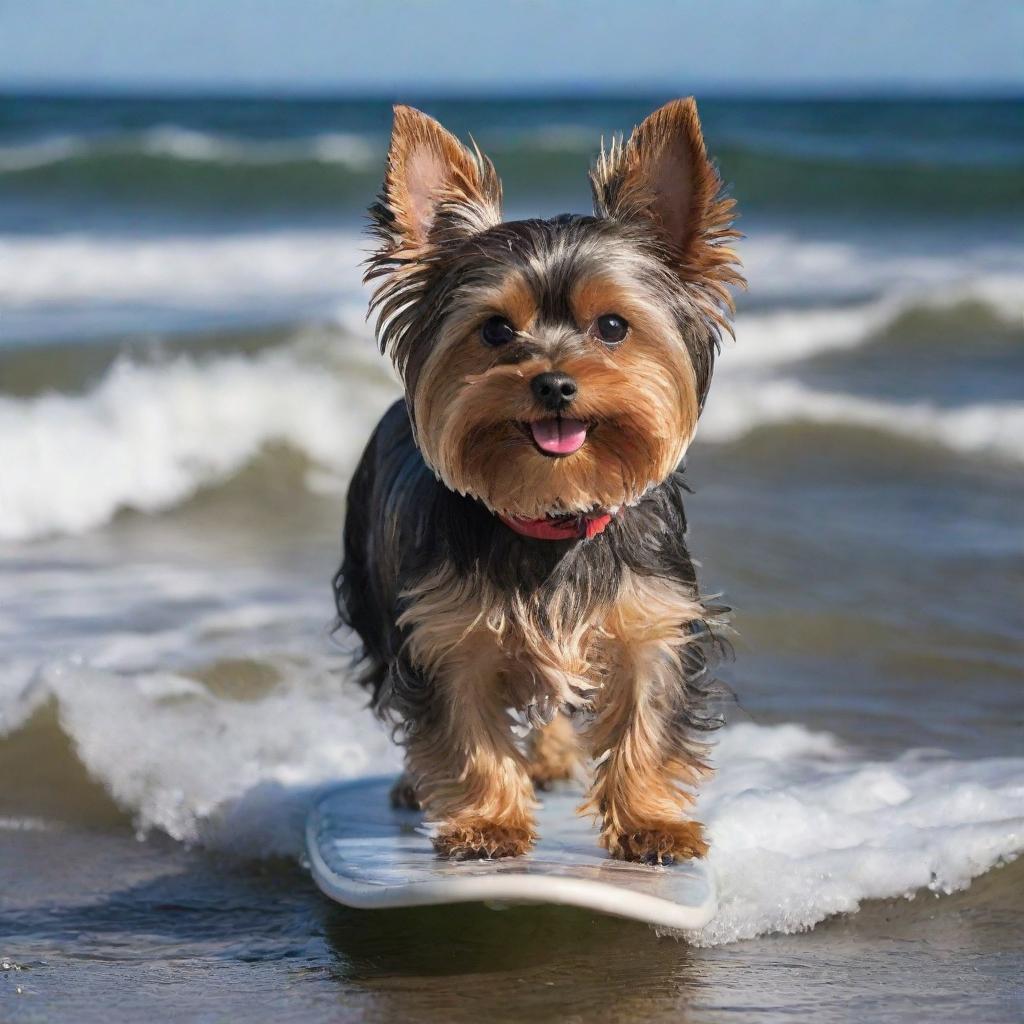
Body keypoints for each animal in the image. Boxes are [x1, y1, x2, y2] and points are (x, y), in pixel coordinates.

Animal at [337, 97, 745, 864]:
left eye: (612, 325)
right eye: (496, 331)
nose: (553, 383)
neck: (551, 512)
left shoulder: (652, 618)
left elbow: (647, 718)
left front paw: (650, 822)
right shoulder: (444, 631)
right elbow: (463, 727)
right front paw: (488, 821)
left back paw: (553, 757)